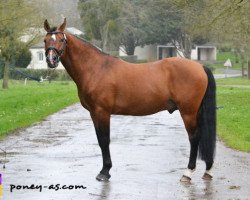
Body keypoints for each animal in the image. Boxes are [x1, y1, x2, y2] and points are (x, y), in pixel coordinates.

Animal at [43, 19, 215, 183]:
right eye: (45, 40)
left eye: (61, 40)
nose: (51, 60)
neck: (96, 68)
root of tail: (200, 67)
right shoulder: (93, 113)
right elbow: (99, 140)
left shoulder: (102, 112)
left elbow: (105, 140)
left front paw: (104, 172)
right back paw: (207, 170)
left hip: (188, 112)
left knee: (194, 138)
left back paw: (188, 173)